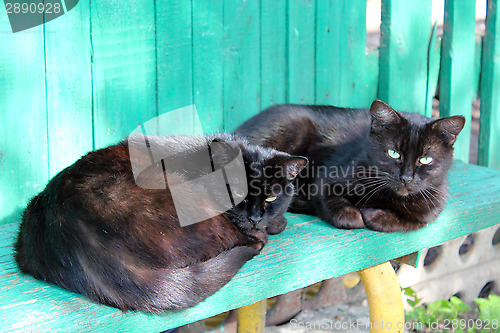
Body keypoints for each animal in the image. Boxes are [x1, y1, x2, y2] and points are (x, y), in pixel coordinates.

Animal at [236, 100, 466, 232]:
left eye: (425, 159)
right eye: (393, 153)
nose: (406, 178)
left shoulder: (431, 207)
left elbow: (411, 221)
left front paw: (374, 215)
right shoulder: (325, 181)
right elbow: (340, 211)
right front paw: (357, 215)